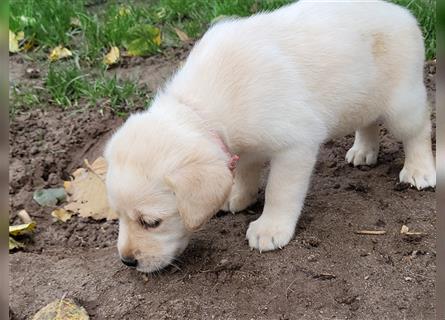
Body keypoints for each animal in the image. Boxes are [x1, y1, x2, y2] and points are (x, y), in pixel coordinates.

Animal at [103, 0, 434, 274]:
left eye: (151, 222)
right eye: (117, 215)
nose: (127, 261)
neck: (200, 109)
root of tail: (402, 12)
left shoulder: (296, 145)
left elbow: (279, 191)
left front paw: (270, 228)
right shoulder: (243, 146)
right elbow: (245, 171)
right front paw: (237, 195)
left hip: (402, 103)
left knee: (419, 130)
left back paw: (420, 170)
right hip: (363, 99)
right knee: (368, 121)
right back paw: (363, 151)